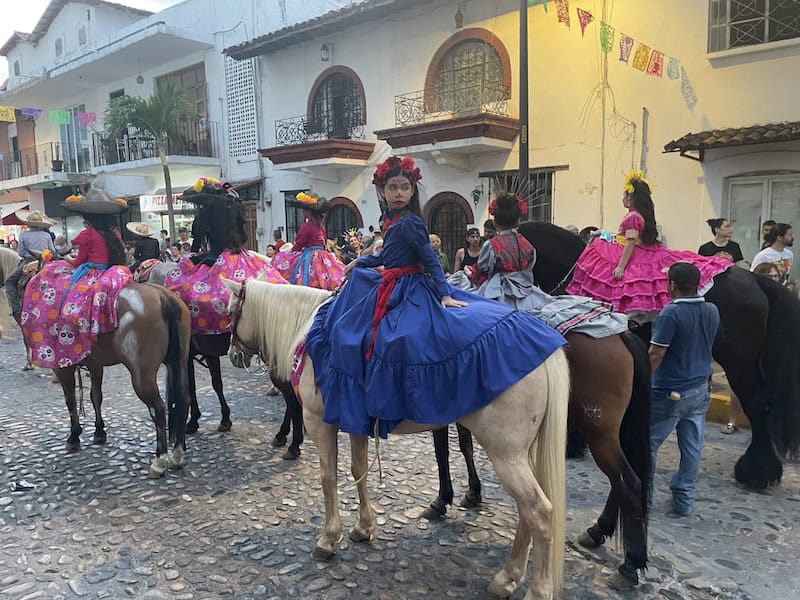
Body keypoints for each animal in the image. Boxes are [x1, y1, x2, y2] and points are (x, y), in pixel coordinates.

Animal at [22, 280, 192, 478]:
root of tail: (162, 296)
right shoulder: (95, 364)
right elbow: (96, 397)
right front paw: (99, 432)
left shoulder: (62, 366)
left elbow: (71, 401)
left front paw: (74, 436)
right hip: (179, 362)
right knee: (183, 401)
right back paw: (178, 455)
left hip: (142, 374)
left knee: (157, 408)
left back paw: (159, 461)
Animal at [222, 278, 572, 596]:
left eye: (229, 313)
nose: (233, 355)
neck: (308, 330)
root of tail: (544, 346)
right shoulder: (355, 422)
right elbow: (358, 471)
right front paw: (363, 528)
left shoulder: (319, 422)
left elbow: (328, 478)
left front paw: (328, 538)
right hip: (522, 454)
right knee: (527, 512)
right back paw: (508, 576)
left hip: (505, 455)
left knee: (540, 512)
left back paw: (535, 589)